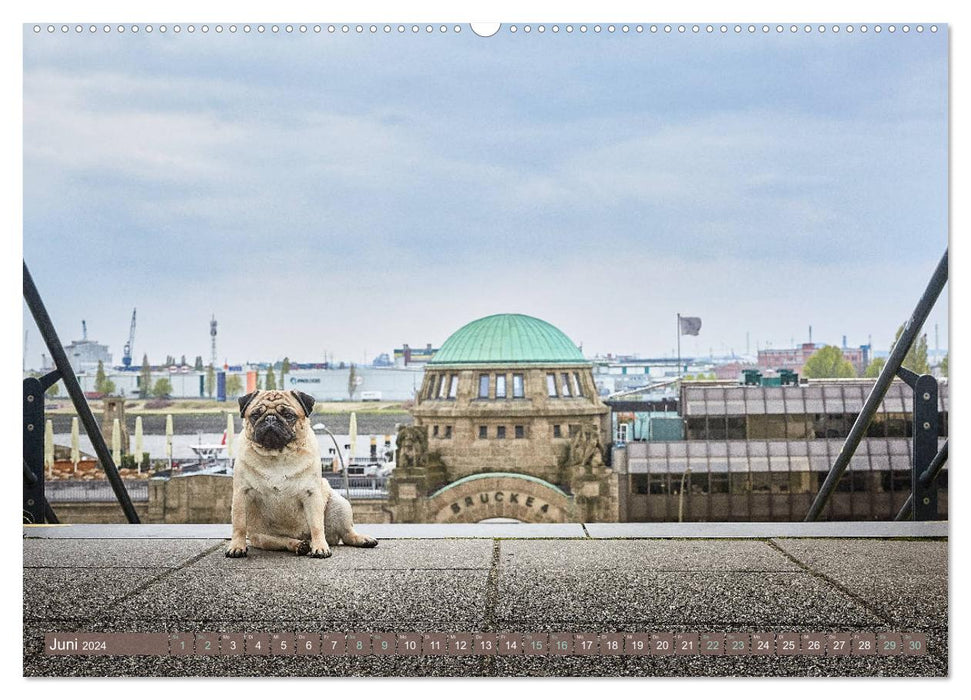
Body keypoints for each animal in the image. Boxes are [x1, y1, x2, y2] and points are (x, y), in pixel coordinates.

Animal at [228, 388, 380, 556]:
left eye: (289, 415)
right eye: (255, 415)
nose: (270, 418)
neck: (277, 456)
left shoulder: (311, 493)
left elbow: (316, 526)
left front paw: (320, 547)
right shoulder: (242, 493)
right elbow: (239, 525)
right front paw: (237, 546)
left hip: (340, 505)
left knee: (346, 534)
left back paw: (361, 539)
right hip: (261, 538)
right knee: (283, 541)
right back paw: (299, 545)